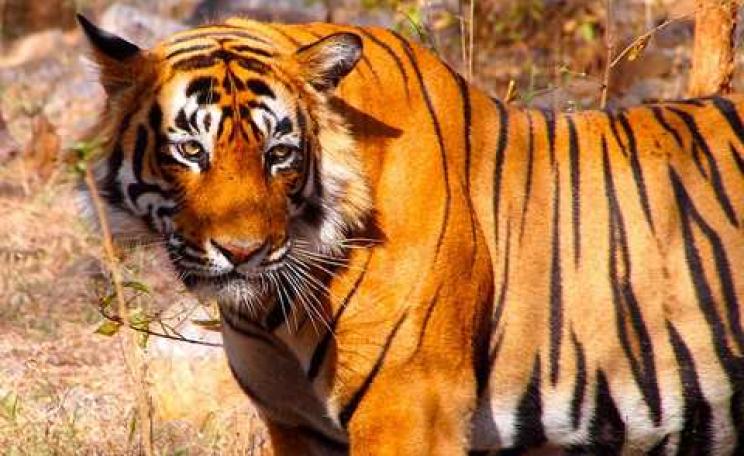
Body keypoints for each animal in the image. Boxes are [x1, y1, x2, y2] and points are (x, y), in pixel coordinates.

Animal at [77, 13, 744, 455]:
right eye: (191, 150)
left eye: (278, 154)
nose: (244, 253)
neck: (271, 312)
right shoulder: (295, 423)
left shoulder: (410, 407)